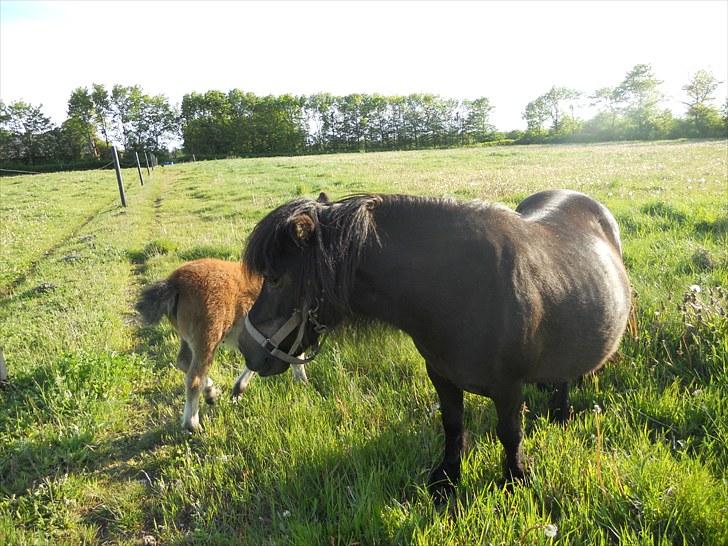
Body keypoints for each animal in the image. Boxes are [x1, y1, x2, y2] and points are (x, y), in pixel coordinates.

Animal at [239, 189, 632, 500]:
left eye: (275, 278)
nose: (246, 348)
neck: (461, 289)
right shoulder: (440, 375)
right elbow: (452, 425)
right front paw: (446, 479)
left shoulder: (508, 387)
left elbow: (510, 434)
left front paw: (515, 479)